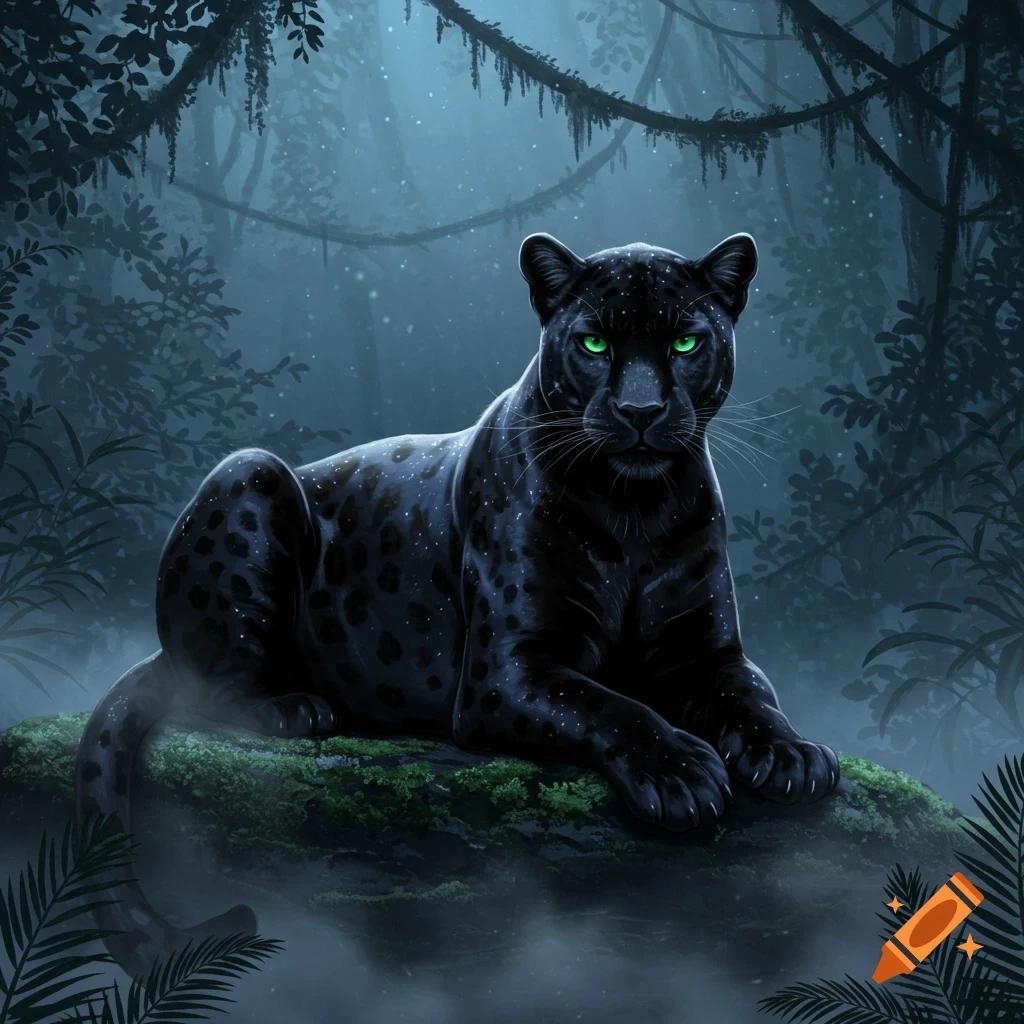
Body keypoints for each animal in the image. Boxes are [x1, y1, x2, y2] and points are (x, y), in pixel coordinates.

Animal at [76, 230, 839, 973]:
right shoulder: (508, 672)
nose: (641, 410)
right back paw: (295, 708)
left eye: (685, 342)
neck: (634, 509)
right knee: (206, 686)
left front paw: (793, 755)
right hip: (249, 473)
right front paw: (679, 772)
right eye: (594, 343)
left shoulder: (706, 654)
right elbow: (610, 706)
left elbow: (751, 697)